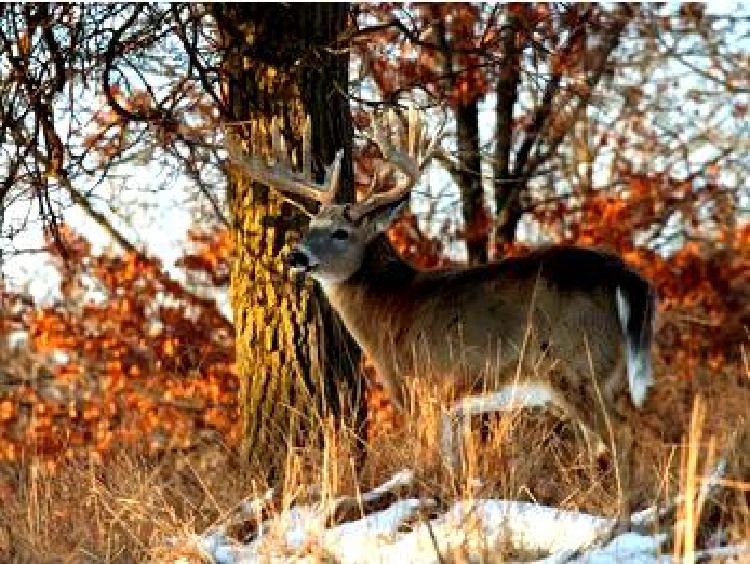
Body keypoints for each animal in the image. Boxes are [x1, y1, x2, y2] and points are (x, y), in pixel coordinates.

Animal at [229, 109, 656, 528]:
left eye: (341, 232)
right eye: (309, 226)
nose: (295, 256)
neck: (388, 309)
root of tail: (624, 276)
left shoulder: (422, 387)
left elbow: (433, 467)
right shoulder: (452, 405)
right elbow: (456, 472)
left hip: (577, 365)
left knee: (621, 436)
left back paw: (617, 525)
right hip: (607, 373)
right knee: (623, 433)